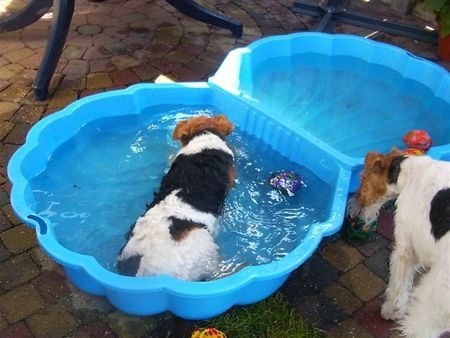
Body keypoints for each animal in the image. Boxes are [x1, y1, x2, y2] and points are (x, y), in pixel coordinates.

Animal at [352, 149, 450, 336]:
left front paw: (390, 311)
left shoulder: (405, 249)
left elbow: (398, 285)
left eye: (363, 176)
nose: (356, 209)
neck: (409, 171)